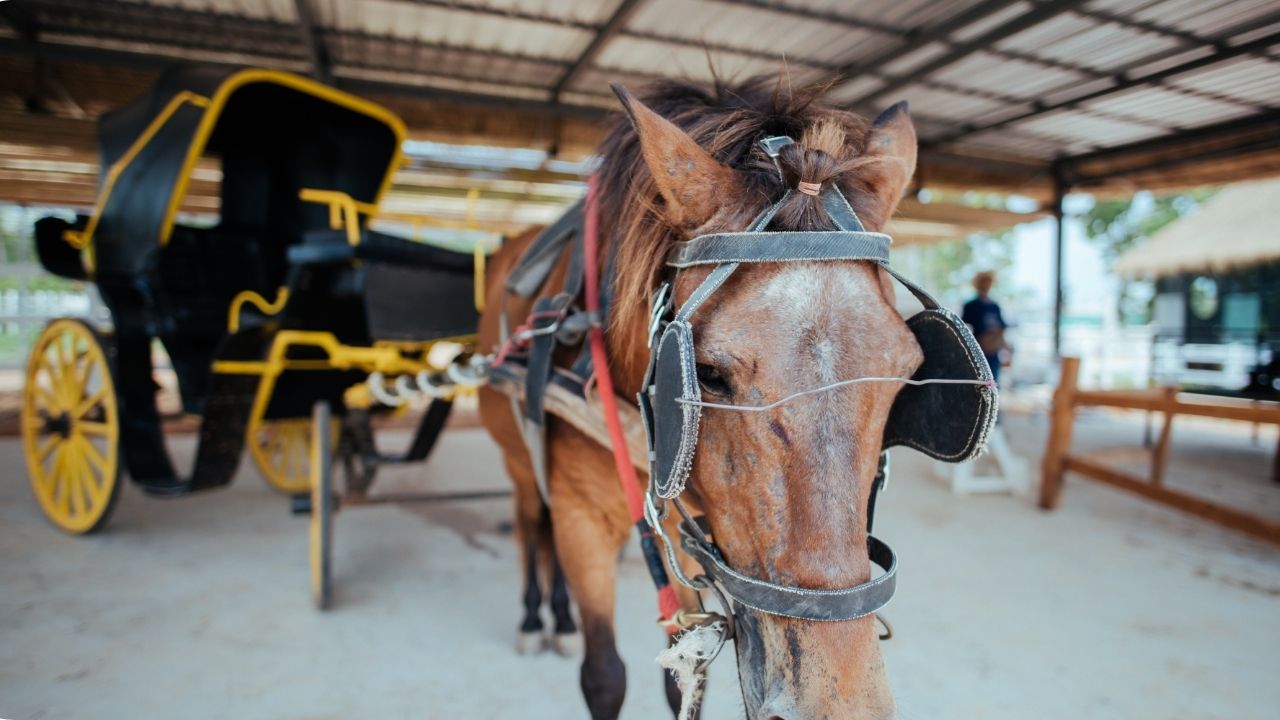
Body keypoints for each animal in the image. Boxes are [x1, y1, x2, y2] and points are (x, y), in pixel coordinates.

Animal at [478, 74, 922, 720]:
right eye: (707, 374)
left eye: (907, 370)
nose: (837, 703)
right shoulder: (581, 518)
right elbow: (604, 676)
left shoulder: (695, 531)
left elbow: (681, 679)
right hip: (519, 459)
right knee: (531, 521)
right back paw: (541, 616)